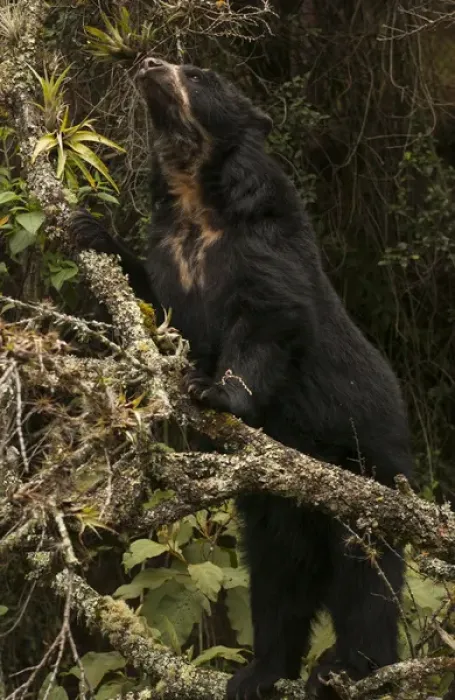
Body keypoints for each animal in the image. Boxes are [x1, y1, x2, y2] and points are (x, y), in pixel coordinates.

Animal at [71, 56, 414, 699]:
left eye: (197, 76)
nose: (148, 64)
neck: (197, 204)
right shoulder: (171, 257)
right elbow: (158, 307)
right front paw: (87, 226)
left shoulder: (264, 244)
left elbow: (267, 318)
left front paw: (214, 391)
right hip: (277, 507)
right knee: (278, 578)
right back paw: (261, 671)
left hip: (373, 471)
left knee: (365, 575)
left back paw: (349, 667)